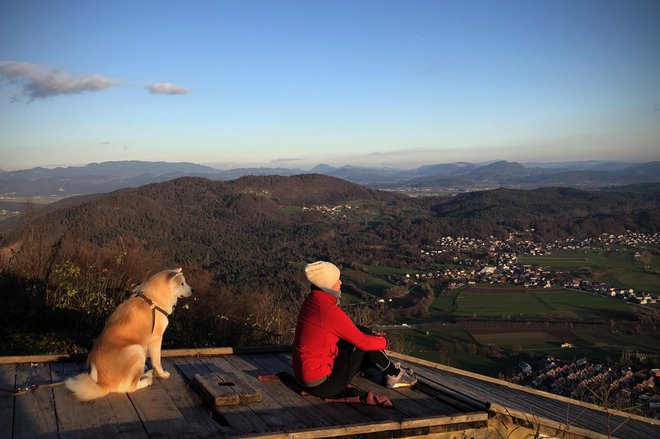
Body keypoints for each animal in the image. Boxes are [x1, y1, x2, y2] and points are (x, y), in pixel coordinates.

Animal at [65, 268, 193, 402]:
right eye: (182, 283)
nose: (193, 290)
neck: (153, 300)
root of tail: (102, 383)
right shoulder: (156, 339)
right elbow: (157, 361)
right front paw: (162, 374)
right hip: (136, 350)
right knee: (130, 386)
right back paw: (146, 380)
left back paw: (147, 373)